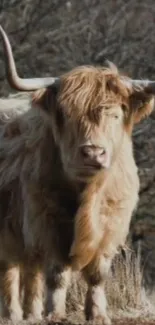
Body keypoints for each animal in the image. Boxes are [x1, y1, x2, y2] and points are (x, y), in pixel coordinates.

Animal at [0, 26, 154, 324]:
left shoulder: (112, 222)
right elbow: (57, 274)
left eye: (115, 115)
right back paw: (14, 314)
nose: (93, 153)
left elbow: (97, 275)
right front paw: (55, 313)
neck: (88, 193)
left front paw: (97, 314)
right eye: (68, 116)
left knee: (29, 271)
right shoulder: (46, 221)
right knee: (11, 270)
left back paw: (31, 313)